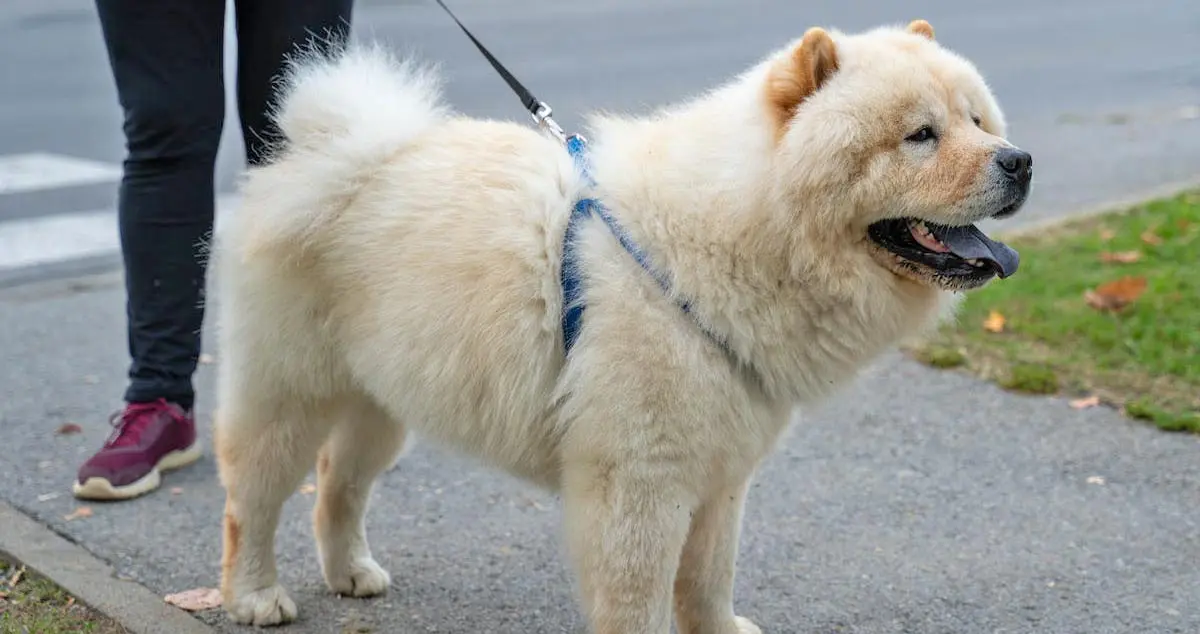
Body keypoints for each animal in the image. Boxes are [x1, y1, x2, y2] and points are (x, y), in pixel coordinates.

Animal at [213, 17, 1032, 629]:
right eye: (920, 135)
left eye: (978, 121)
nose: (1019, 159)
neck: (723, 242)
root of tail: (323, 151)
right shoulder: (637, 480)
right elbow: (640, 597)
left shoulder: (723, 469)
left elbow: (709, 580)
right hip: (288, 393)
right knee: (252, 500)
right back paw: (254, 596)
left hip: (384, 400)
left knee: (338, 484)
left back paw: (351, 571)